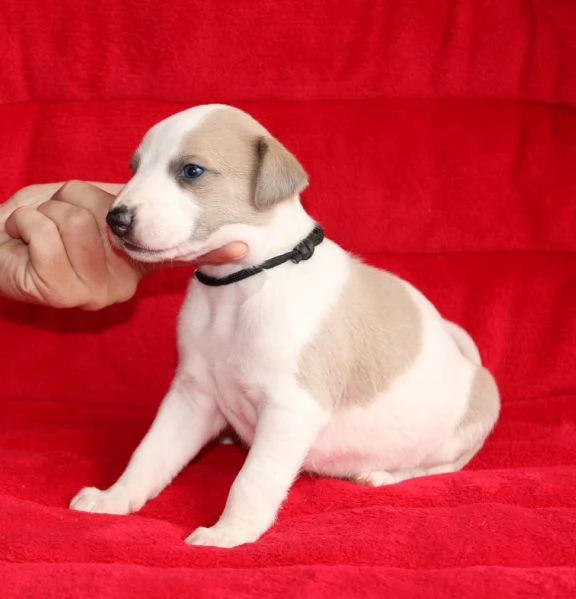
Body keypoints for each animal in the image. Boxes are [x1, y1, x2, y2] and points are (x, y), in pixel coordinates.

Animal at [68, 104, 500, 548]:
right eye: (135, 168)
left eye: (191, 171)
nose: (115, 219)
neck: (239, 287)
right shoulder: (192, 396)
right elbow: (150, 453)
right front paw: (113, 498)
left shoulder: (290, 409)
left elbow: (252, 479)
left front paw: (230, 533)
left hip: (470, 421)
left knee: (440, 466)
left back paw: (382, 475)